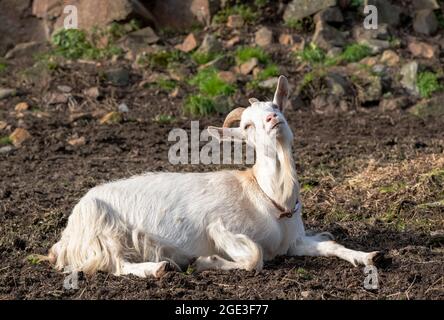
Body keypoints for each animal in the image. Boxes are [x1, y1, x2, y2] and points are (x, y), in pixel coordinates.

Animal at [48, 75, 378, 278]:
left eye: (275, 106)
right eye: (246, 126)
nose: (274, 119)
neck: (267, 197)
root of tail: (64, 240)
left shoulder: (292, 243)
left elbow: (331, 246)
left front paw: (366, 256)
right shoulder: (220, 227)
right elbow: (254, 257)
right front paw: (206, 262)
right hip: (102, 229)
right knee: (115, 264)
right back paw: (155, 269)